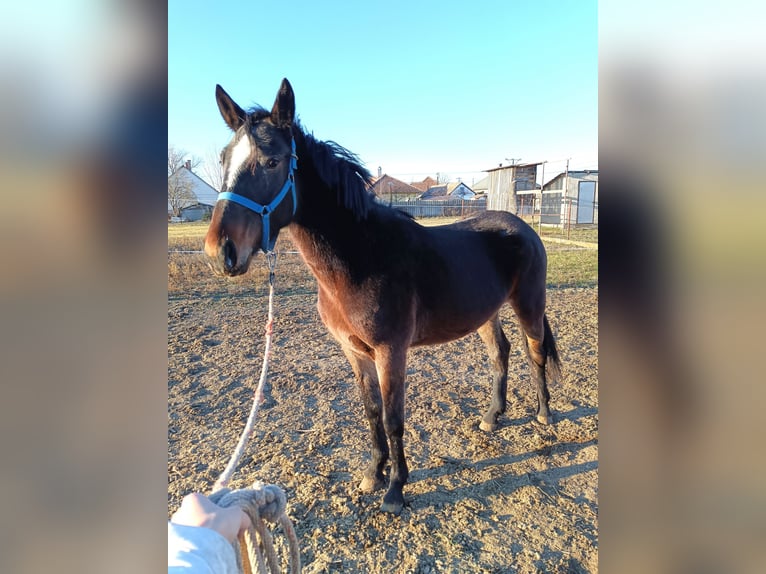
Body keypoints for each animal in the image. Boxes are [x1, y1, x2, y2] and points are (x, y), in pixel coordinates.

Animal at [206, 79, 564, 516]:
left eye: (272, 161)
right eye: (224, 159)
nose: (221, 251)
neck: (361, 257)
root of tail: (522, 227)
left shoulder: (390, 351)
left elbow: (394, 418)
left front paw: (395, 489)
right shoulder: (355, 352)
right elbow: (372, 411)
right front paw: (373, 474)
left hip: (529, 304)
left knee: (535, 352)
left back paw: (544, 414)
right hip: (486, 313)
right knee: (501, 352)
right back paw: (492, 417)